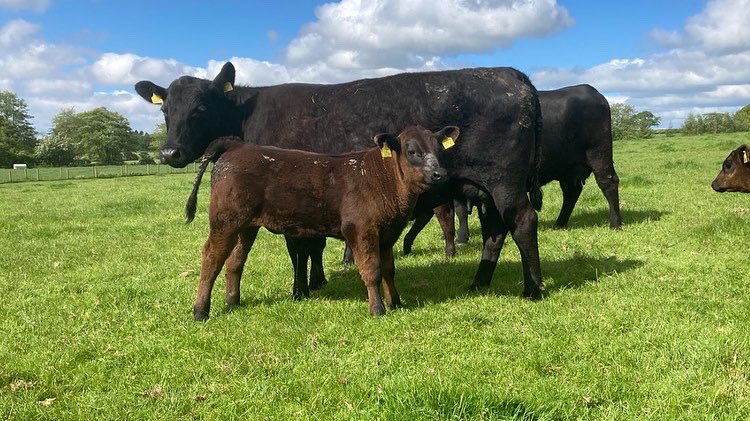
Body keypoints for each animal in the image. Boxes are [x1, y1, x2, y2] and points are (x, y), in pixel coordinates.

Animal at [184, 125, 455, 319]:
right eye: (412, 151)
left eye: (440, 151)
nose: (440, 174)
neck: (382, 179)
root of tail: (237, 146)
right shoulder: (361, 230)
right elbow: (372, 271)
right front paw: (377, 309)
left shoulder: (388, 234)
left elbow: (389, 269)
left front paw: (396, 303)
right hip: (225, 221)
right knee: (211, 258)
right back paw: (200, 311)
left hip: (246, 226)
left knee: (234, 261)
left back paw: (233, 301)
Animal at [403, 84, 621, 254]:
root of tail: (592, 92)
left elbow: (459, 211)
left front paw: (461, 238)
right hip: (568, 169)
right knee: (571, 192)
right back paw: (559, 223)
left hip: (599, 155)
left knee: (608, 183)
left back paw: (615, 223)